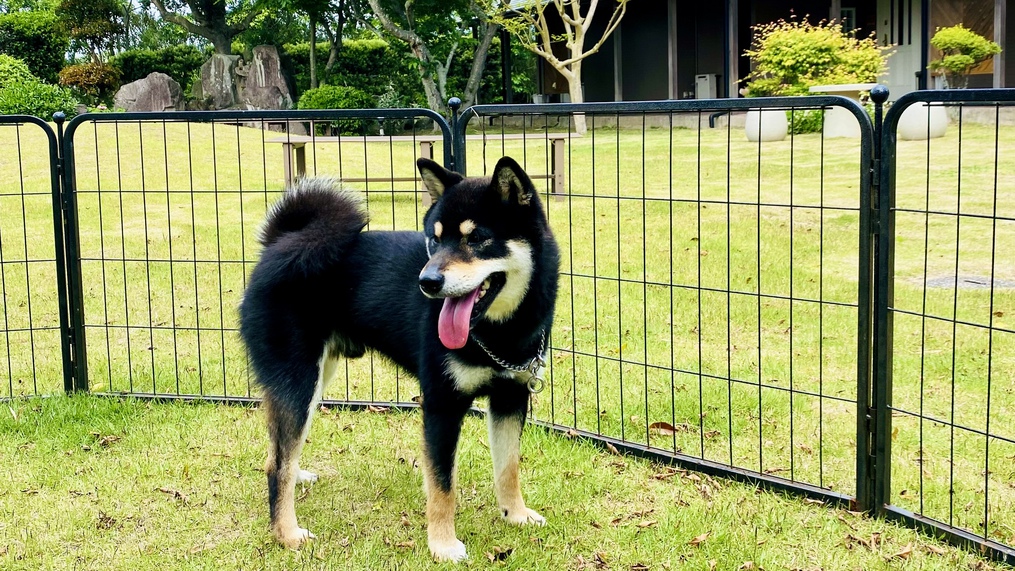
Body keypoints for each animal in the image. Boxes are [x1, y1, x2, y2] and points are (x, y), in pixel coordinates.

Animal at [238, 156, 560, 563]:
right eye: (434, 239)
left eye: (476, 239)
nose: (427, 282)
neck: (500, 332)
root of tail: (278, 243)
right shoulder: (441, 405)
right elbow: (442, 485)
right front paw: (443, 544)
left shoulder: (511, 398)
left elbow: (509, 467)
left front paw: (515, 515)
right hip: (298, 380)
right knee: (278, 465)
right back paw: (287, 533)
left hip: (314, 378)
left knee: (278, 453)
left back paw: (297, 479)